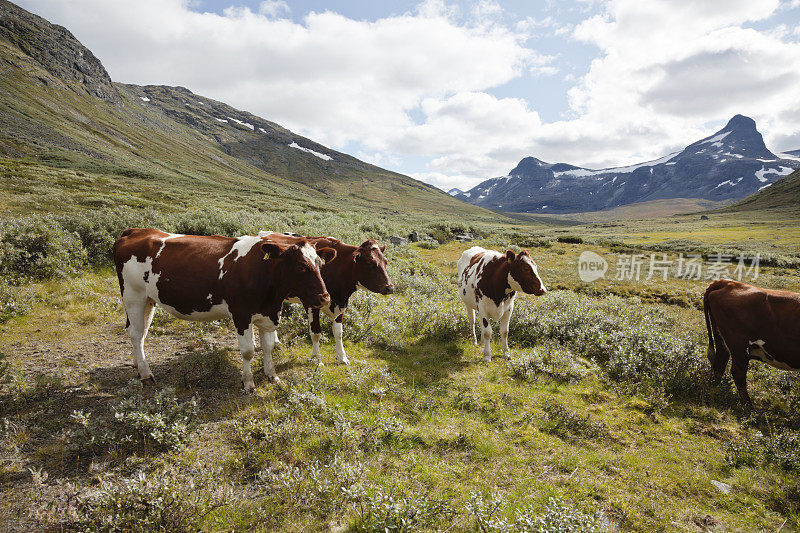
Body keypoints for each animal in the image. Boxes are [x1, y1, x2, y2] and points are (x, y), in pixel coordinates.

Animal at [111, 229, 334, 390]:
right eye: (301, 266)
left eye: (320, 263)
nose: (324, 297)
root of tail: (136, 231)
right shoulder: (241, 314)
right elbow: (248, 351)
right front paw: (248, 383)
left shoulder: (268, 314)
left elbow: (268, 346)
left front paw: (272, 375)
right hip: (133, 296)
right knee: (136, 333)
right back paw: (146, 374)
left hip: (149, 299)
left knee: (141, 332)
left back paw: (138, 366)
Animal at [260, 233, 394, 366]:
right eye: (370, 263)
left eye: (386, 262)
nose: (390, 287)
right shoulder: (312, 304)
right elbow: (316, 332)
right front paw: (316, 359)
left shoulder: (341, 305)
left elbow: (338, 332)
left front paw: (342, 357)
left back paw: (276, 341)